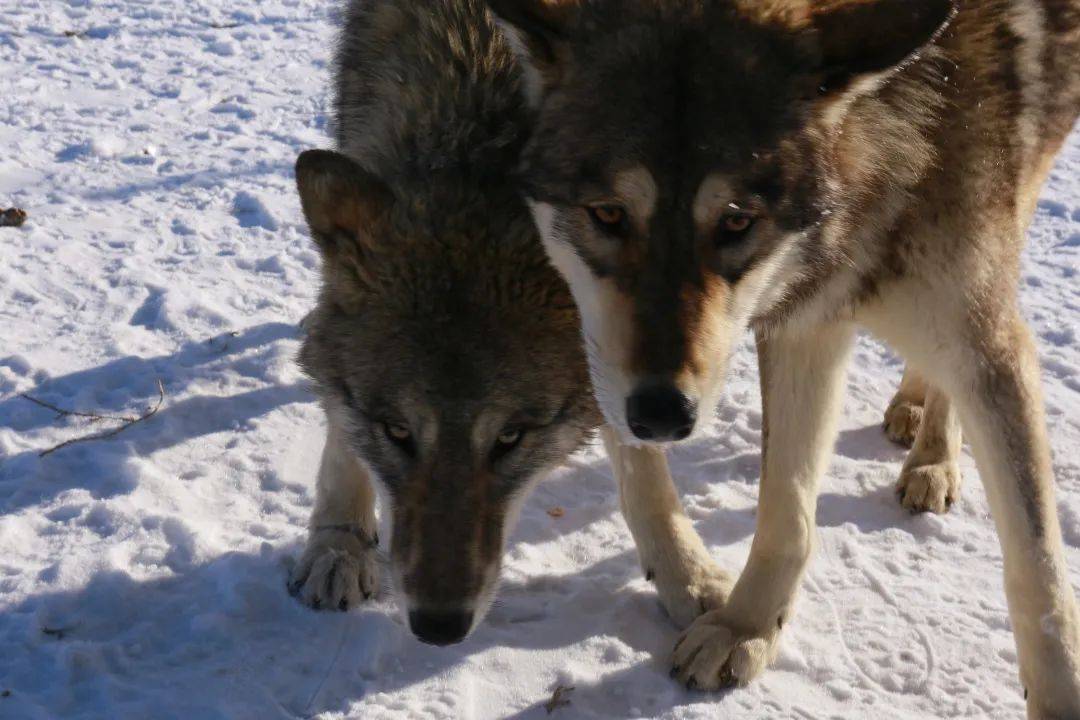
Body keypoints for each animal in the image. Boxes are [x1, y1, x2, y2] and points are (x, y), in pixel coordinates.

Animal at [490, 0, 1080, 712]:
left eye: (737, 221)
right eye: (607, 214)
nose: (660, 416)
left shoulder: (988, 344)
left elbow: (1038, 578)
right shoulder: (808, 323)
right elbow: (785, 509)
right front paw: (747, 627)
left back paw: (933, 456)